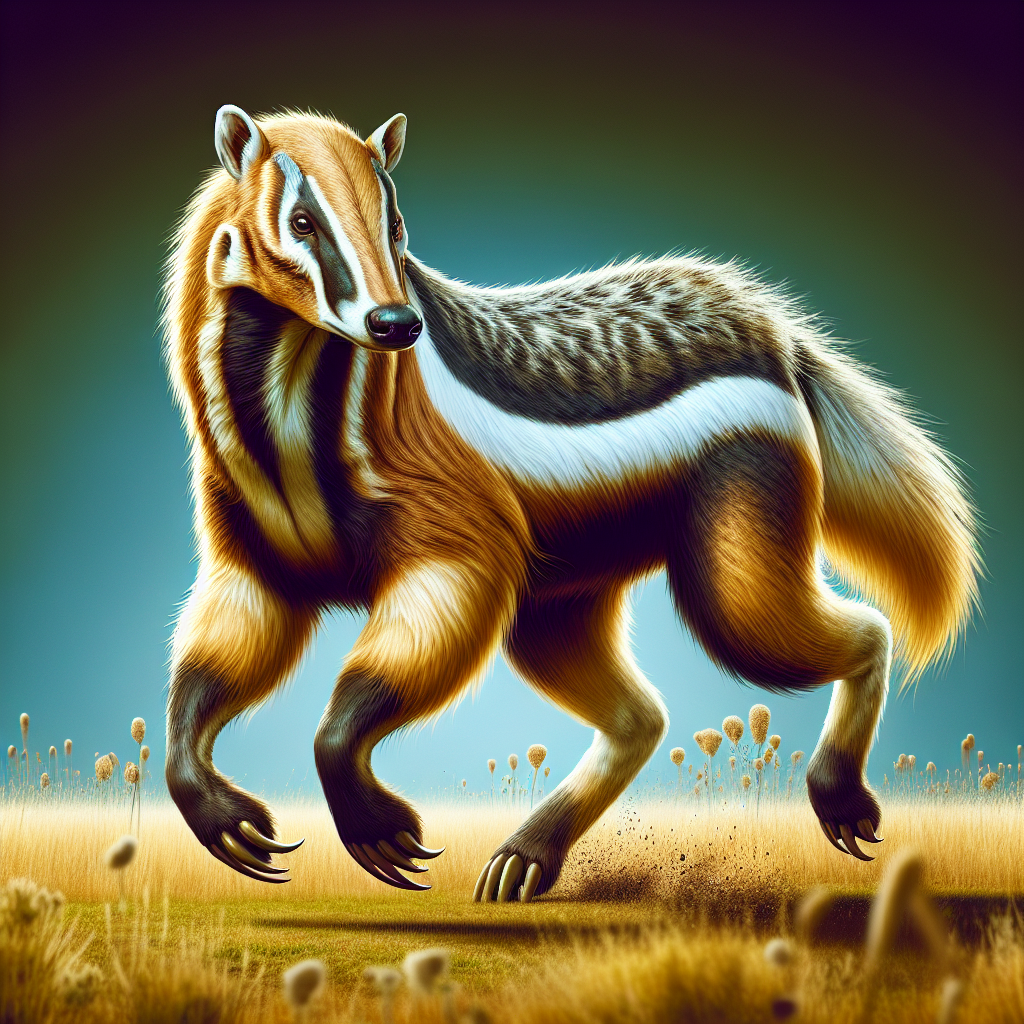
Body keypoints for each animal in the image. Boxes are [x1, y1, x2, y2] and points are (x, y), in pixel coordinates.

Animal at [161, 105, 978, 902]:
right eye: (302, 222)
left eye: (395, 226)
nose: (396, 323)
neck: (289, 407)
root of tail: (778, 339)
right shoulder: (248, 540)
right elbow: (225, 642)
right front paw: (228, 819)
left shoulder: (454, 520)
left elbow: (429, 621)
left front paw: (381, 831)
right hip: (567, 586)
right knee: (635, 712)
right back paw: (525, 856)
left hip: (743, 495)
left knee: (813, 625)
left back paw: (840, 793)